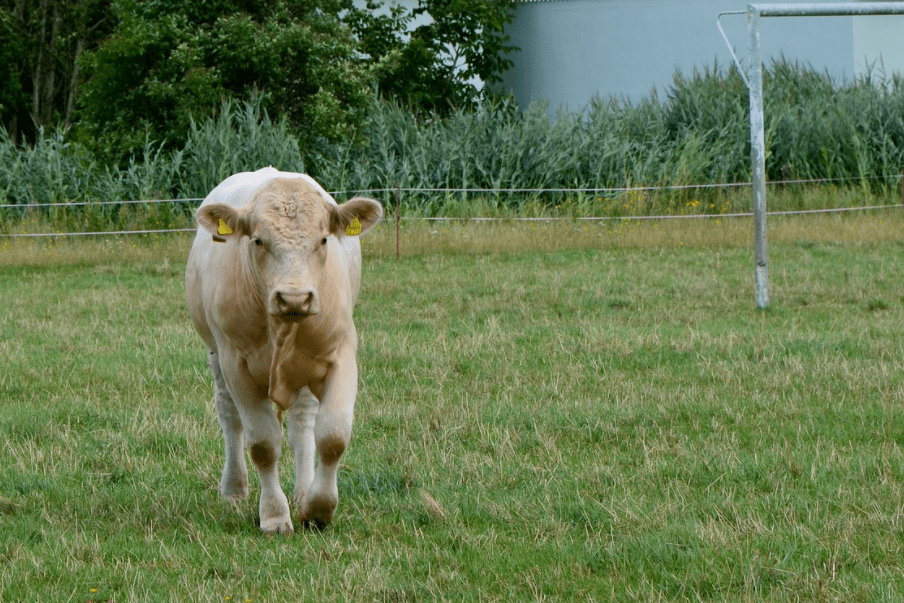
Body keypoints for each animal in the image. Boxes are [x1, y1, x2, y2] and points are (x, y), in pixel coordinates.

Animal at [184, 168, 382, 536]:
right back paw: (233, 490)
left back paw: (303, 490)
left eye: (323, 239)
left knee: (303, 423)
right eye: (258, 240)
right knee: (229, 416)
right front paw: (275, 516)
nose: (294, 298)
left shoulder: (341, 354)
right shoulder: (235, 363)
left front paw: (317, 508)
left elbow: (332, 436)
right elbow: (263, 444)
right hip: (216, 356)